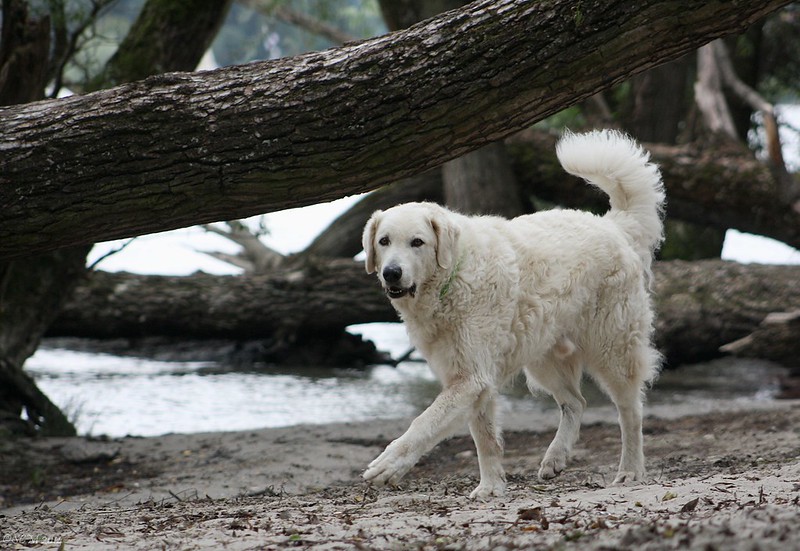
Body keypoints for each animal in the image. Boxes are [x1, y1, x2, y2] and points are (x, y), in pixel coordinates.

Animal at [360, 129, 664, 500]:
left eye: (417, 242)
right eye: (384, 241)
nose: (391, 273)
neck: (453, 277)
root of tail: (614, 225)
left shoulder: (471, 377)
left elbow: (425, 422)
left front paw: (388, 465)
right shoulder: (471, 378)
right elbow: (485, 439)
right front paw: (491, 487)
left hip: (612, 348)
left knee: (630, 411)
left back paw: (630, 470)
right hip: (543, 355)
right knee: (575, 402)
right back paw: (555, 458)